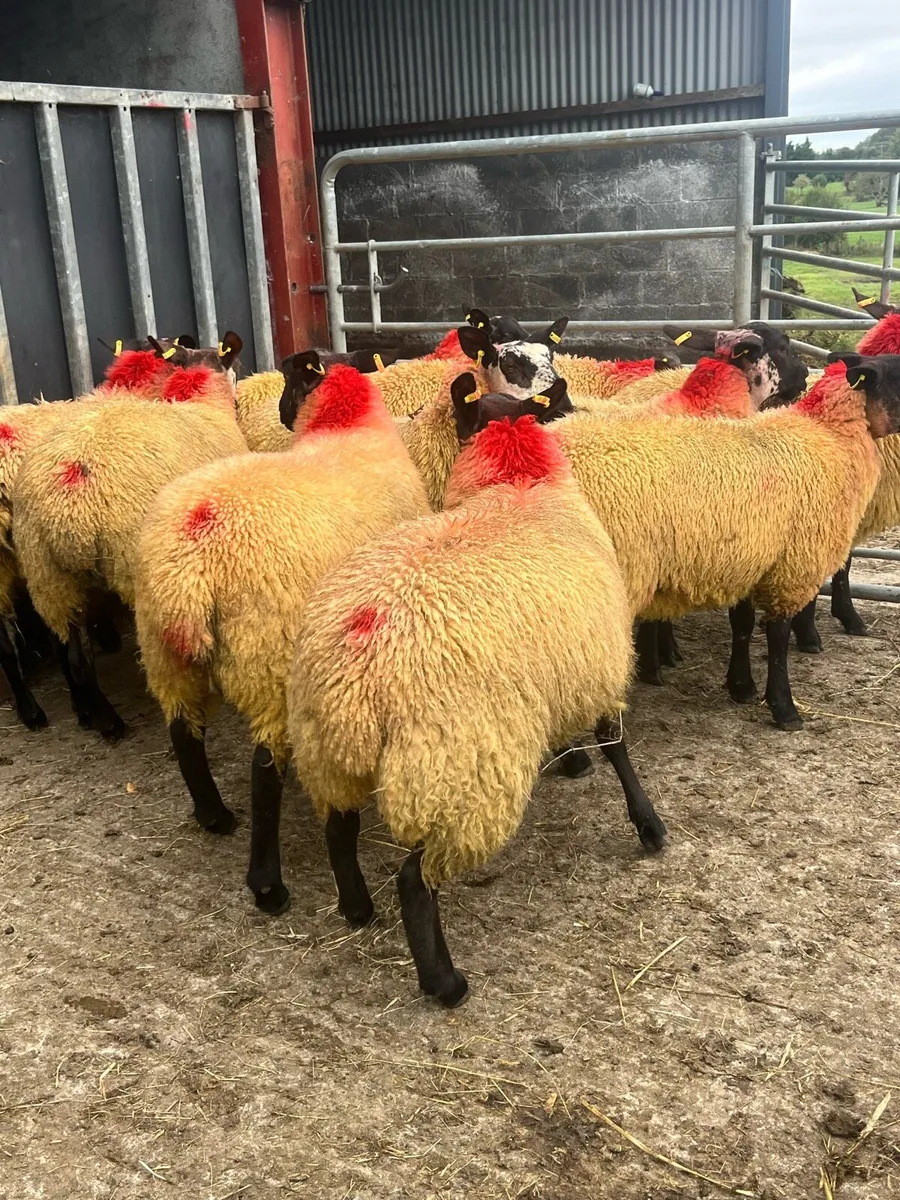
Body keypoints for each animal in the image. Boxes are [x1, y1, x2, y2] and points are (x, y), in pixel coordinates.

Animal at [12, 334, 247, 739]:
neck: (202, 405)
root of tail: (67, 498)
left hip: (47, 574)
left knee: (73, 656)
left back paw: (99, 717)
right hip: (130, 567)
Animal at [133, 364, 431, 913]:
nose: (280, 412)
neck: (347, 426)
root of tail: (190, 560)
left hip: (165, 653)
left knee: (184, 732)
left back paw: (214, 817)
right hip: (266, 653)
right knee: (264, 767)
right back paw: (268, 884)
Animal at [286, 404, 667, 1006]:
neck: (517, 486)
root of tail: (357, 668)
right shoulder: (599, 665)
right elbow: (617, 745)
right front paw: (648, 824)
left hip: (326, 754)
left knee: (339, 833)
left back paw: (357, 909)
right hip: (457, 772)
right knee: (415, 880)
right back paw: (445, 983)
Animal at [552, 356, 900, 731]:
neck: (828, 435)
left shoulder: (750, 558)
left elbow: (743, 626)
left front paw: (741, 686)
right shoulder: (794, 565)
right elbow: (778, 637)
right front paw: (784, 707)